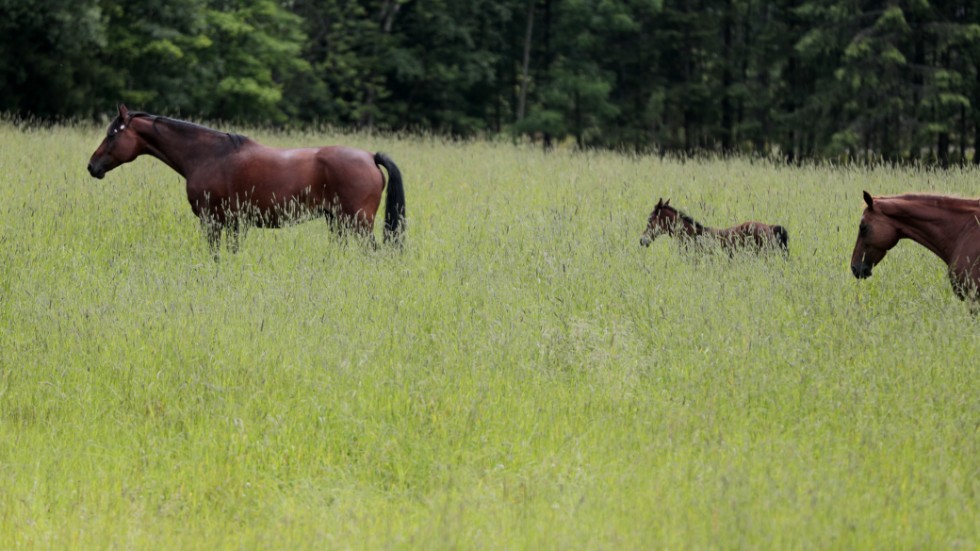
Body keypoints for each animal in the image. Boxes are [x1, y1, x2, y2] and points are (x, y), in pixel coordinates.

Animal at [86, 105, 404, 256]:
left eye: (112, 134)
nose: (92, 166)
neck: (209, 155)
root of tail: (369, 156)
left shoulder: (213, 221)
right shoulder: (235, 224)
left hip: (358, 222)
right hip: (338, 222)